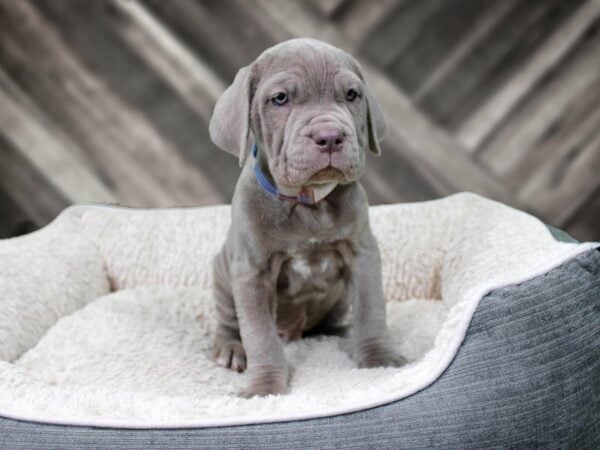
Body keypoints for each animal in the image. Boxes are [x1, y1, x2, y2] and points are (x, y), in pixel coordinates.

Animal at [209, 38, 406, 398]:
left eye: (351, 95)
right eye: (280, 99)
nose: (329, 136)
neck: (308, 203)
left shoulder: (363, 253)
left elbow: (371, 309)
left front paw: (380, 360)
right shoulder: (251, 272)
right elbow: (259, 335)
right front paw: (265, 387)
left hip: (338, 301)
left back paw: (343, 334)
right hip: (221, 273)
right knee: (230, 323)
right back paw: (231, 350)